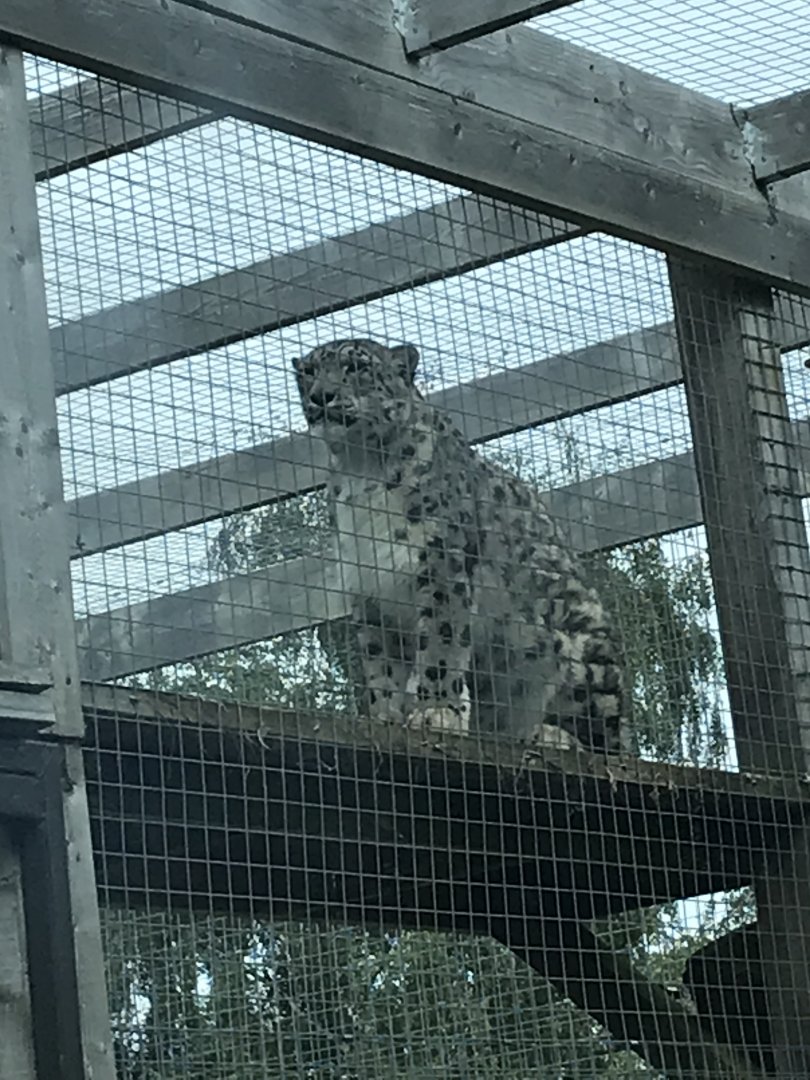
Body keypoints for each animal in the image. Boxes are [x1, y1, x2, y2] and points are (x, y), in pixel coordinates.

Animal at [293, 337, 627, 754]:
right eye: (308, 372)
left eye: (357, 366)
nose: (321, 395)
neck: (363, 471)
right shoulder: (368, 592)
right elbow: (380, 665)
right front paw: (386, 718)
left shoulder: (441, 563)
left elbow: (440, 644)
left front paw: (438, 712)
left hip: (576, 640)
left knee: (606, 742)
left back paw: (551, 735)